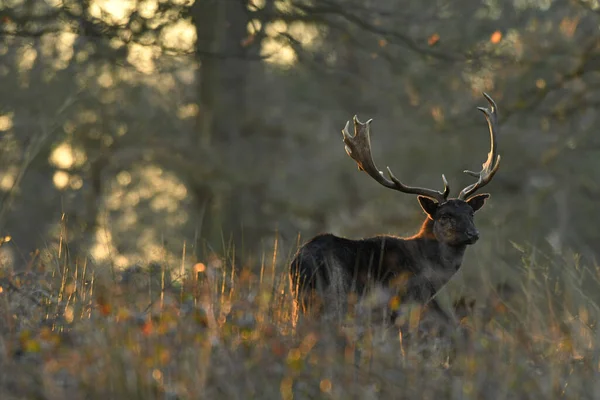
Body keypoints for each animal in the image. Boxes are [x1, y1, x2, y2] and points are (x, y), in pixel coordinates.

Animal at [290, 94, 502, 324]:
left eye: (471, 213)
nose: (473, 234)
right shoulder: (402, 301)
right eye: (445, 216)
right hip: (334, 297)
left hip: (300, 302)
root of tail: (297, 264)